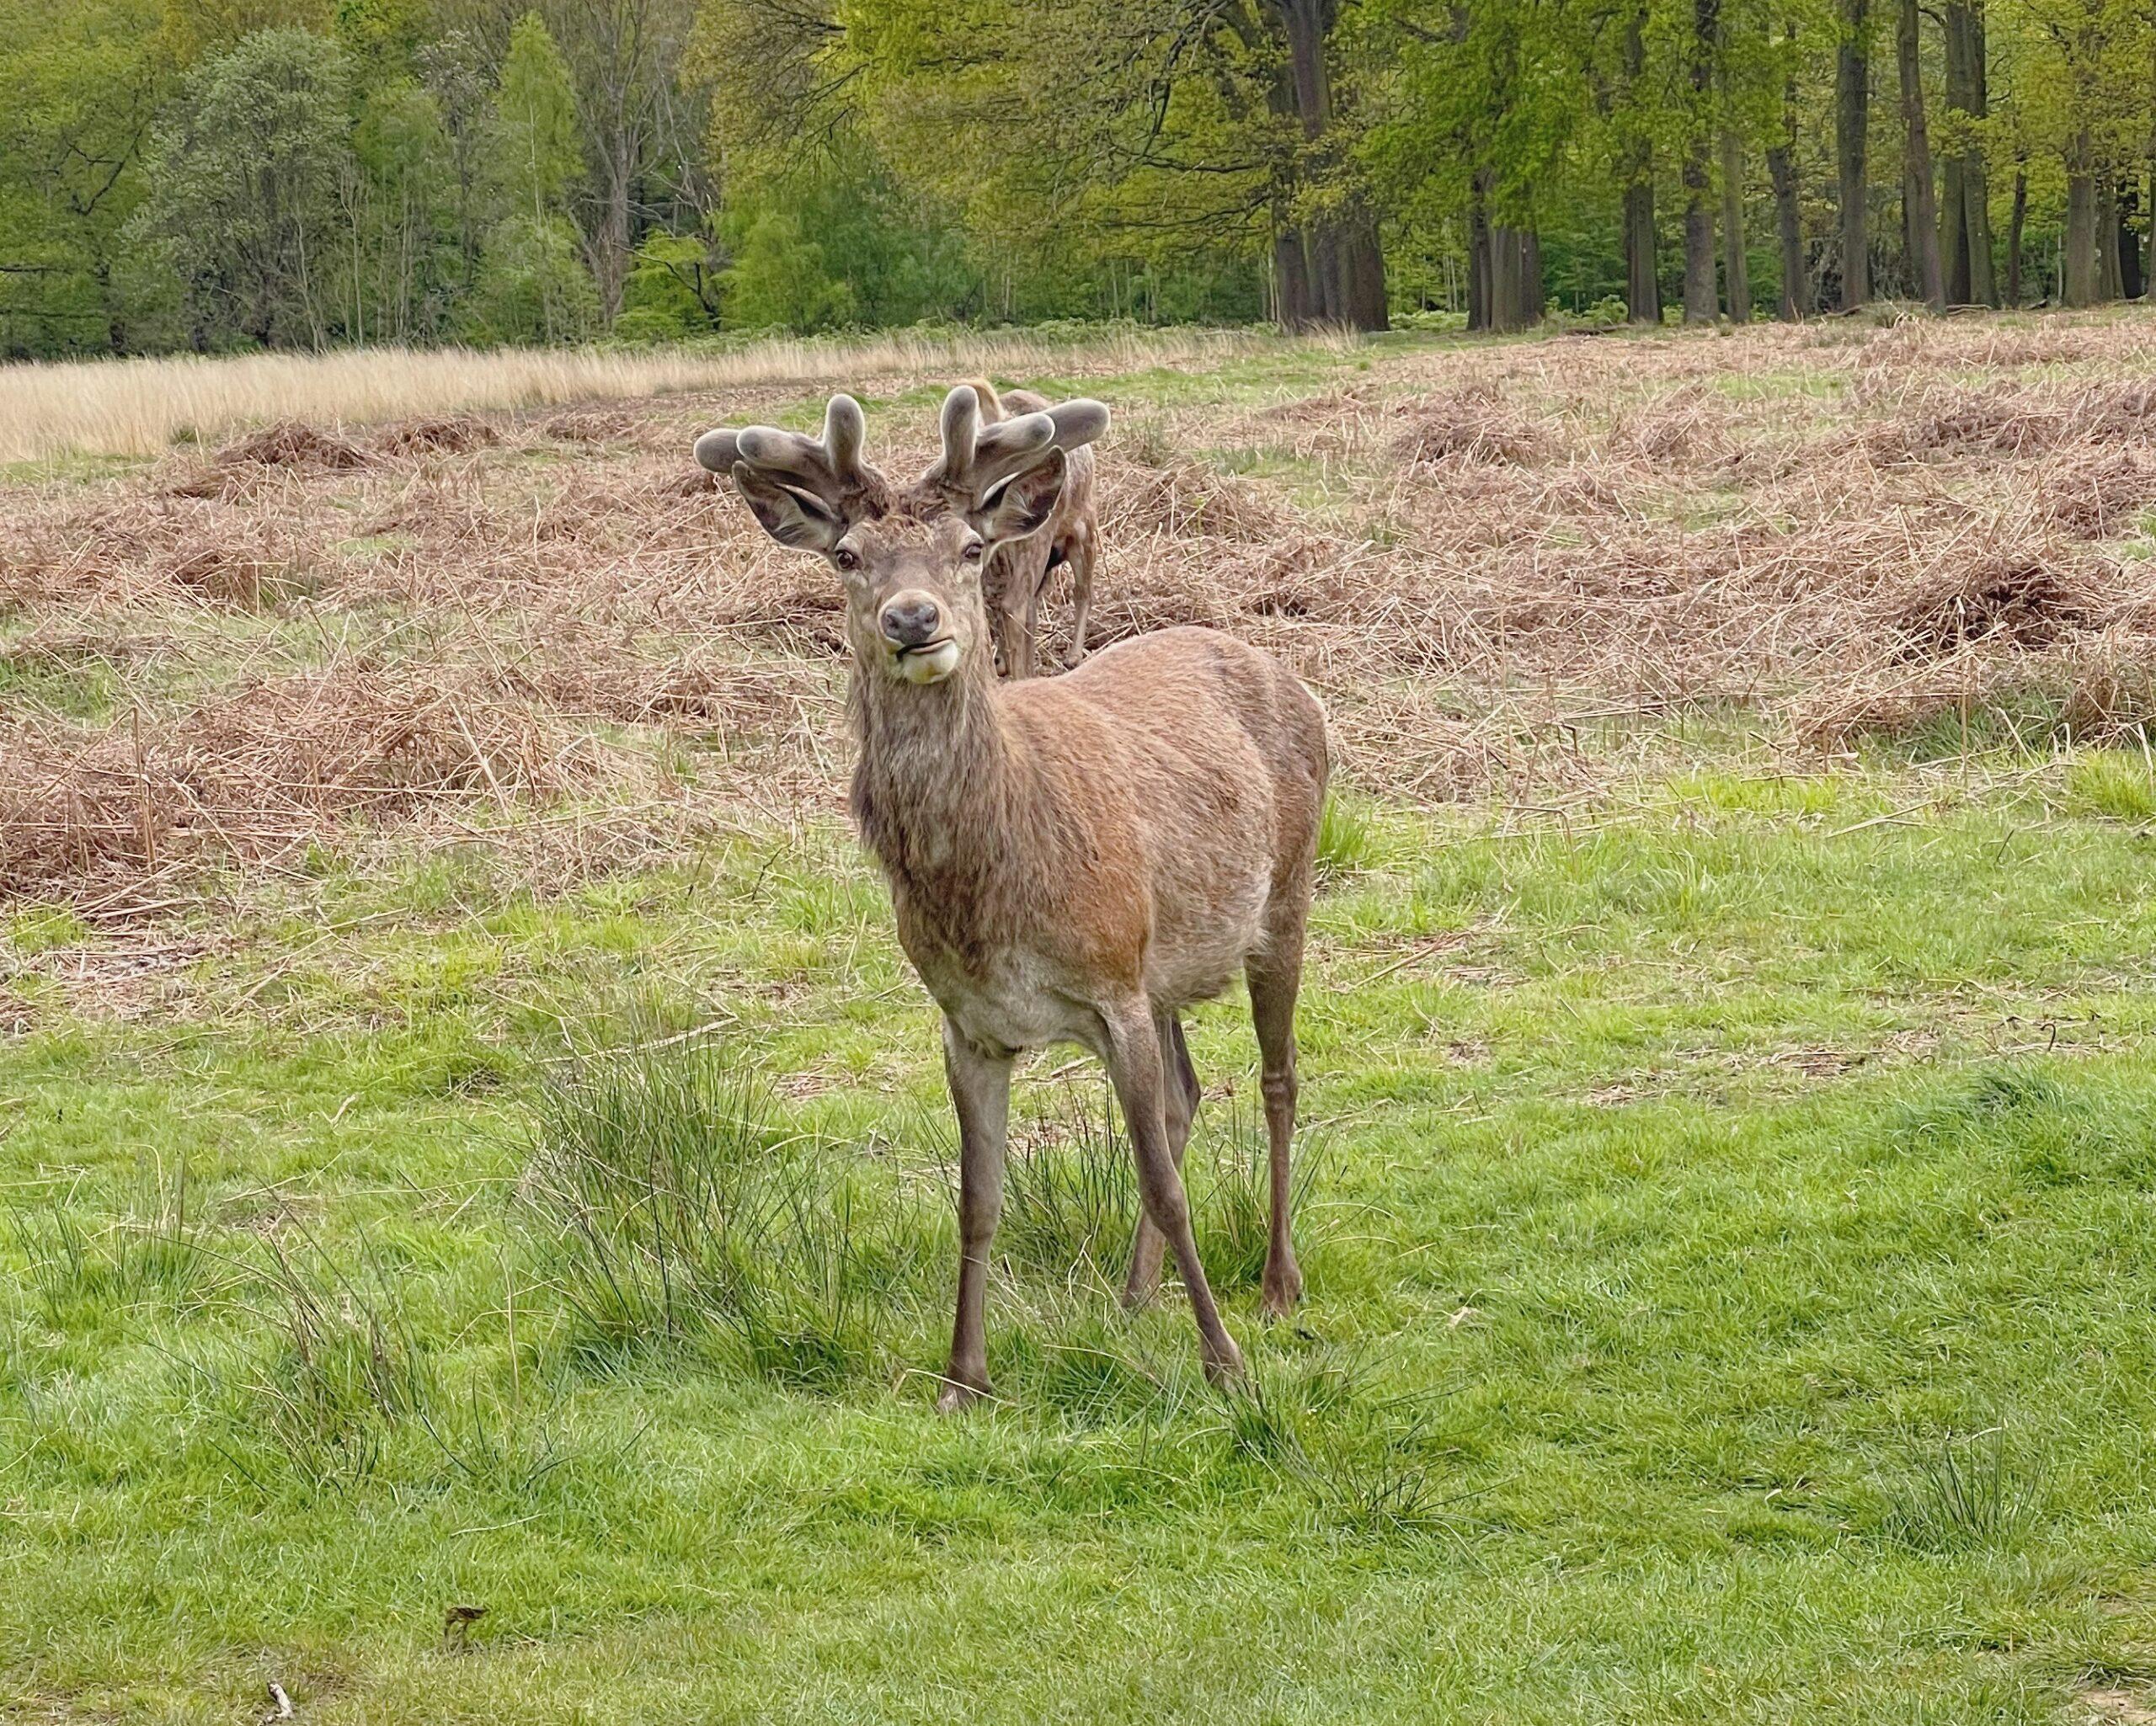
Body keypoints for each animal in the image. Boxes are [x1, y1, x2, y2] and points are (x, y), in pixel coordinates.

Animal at [694, 387, 1327, 1396]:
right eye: (847, 556)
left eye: (969, 548)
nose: (913, 619)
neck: (991, 894)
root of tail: (1281, 670)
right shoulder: (972, 1022)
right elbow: (977, 1198)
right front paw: (963, 1377)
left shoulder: (1110, 985)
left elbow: (1162, 1183)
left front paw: (1222, 1361)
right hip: (1161, 962)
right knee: (1188, 1094)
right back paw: (1133, 1294)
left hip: (1286, 894)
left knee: (1278, 1078)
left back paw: (1274, 1286)